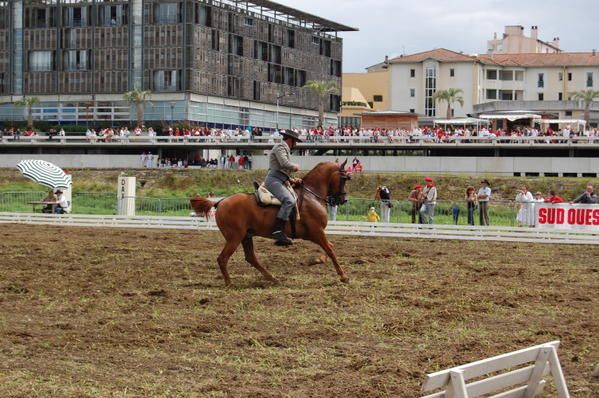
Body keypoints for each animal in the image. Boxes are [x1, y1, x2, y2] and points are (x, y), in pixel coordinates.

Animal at [191, 160, 352, 284]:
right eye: (344, 179)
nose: (343, 200)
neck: (311, 195)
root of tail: (220, 201)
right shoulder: (316, 232)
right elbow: (330, 250)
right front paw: (343, 276)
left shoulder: (316, 234)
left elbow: (329, 247)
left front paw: (317, 260)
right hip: (234, 238)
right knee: (223, 259)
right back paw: (229, 282)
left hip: (246, 236)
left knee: (251, 258)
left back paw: (272, 278)